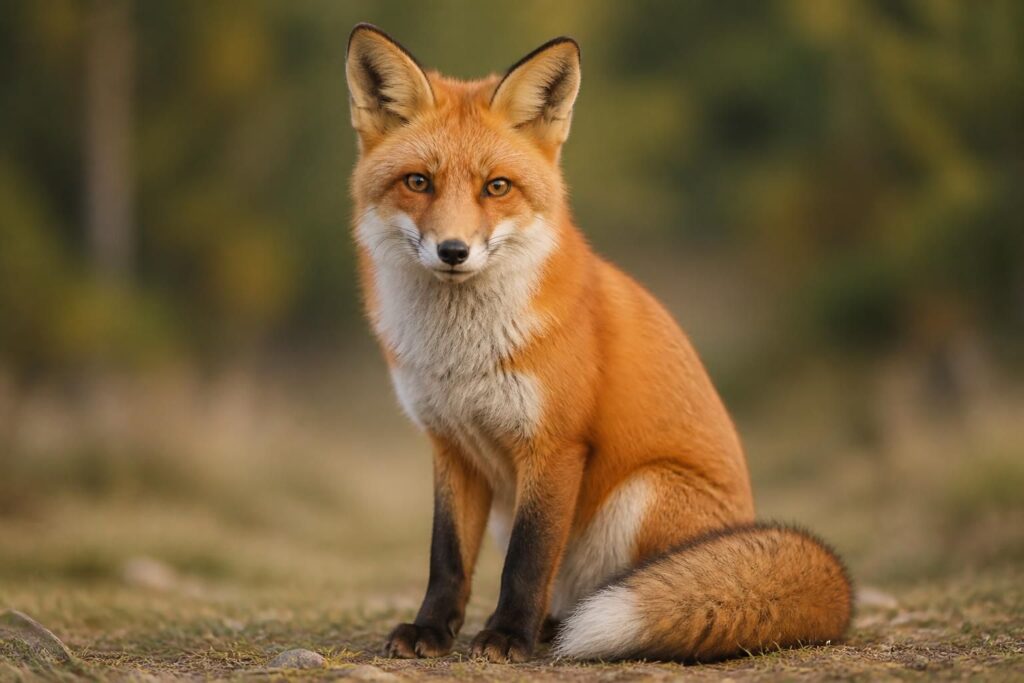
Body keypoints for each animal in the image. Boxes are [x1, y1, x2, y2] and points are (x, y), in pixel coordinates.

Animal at [345, 23, 852, 663]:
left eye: (496, 187)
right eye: (418, 182)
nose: (453, 251)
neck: (462, 357)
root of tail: (747, 523)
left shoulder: (556, 445)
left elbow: (527, 560)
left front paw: (508, 635)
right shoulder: (451, 446)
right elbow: (447, 558)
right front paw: (431, 630)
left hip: (641, 496)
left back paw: (567, 626)